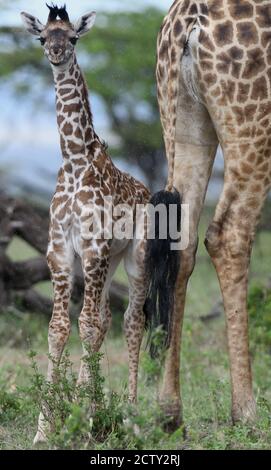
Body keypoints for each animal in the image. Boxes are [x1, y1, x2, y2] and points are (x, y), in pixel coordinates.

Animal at [154, 0, 270, 426]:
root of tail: (189, 21)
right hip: (255, 126)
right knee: (228, 234)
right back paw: (246, 411)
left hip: (183, 118)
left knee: (180, 241)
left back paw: (169, 411)